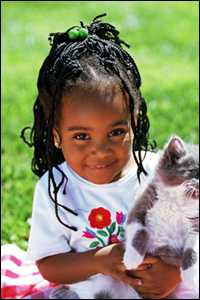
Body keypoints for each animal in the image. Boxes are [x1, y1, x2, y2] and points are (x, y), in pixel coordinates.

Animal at [49, 137, 198, 300]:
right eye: (193, 171)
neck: (177, 202)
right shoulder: (141, 206)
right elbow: (139, 232)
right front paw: (132, 259)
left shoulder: (195, 224)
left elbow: (192, 248)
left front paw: (191, 276)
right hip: (101, 280)